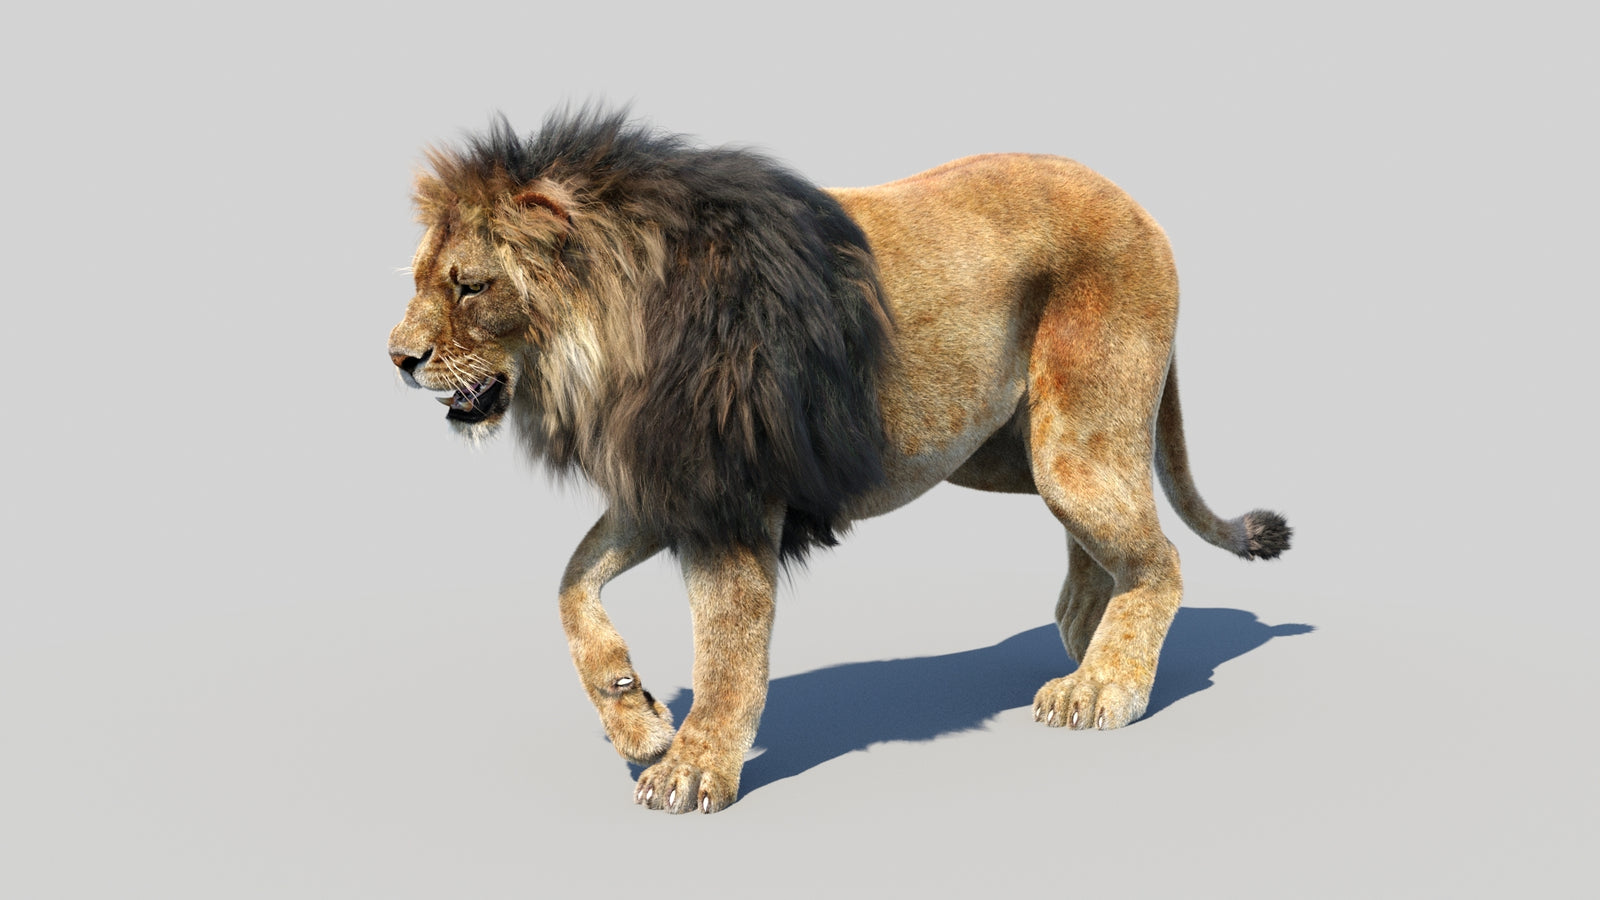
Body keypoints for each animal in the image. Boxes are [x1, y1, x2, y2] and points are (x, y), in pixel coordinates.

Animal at [388, 109, 1291, 814]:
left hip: (1075, 441)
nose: (396, 357)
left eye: (470, 286)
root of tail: (1136, 203)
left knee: (1158, 558)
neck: (601, 350)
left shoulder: (731, 497)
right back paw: (1091, 641)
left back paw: (1107, 684)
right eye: (424, 278)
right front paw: (632, 713)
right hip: (1012, 451)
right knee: (1103, 546)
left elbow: (727, 647)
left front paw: (693, 768)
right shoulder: (671, 483)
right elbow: (571, 584)